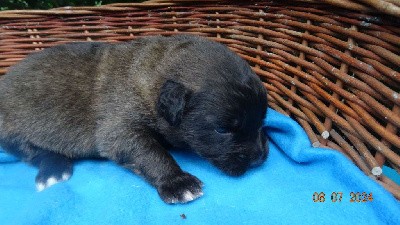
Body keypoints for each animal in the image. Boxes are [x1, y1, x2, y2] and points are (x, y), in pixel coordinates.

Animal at [0, 34, 268, 204]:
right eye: (222, 130)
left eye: (261, 122)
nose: (258, 159)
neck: (150, 76)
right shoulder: (121, 130)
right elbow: (150, 152)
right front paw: (176, 181)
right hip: (12, 129)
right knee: (32, 151)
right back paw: (54, 169)